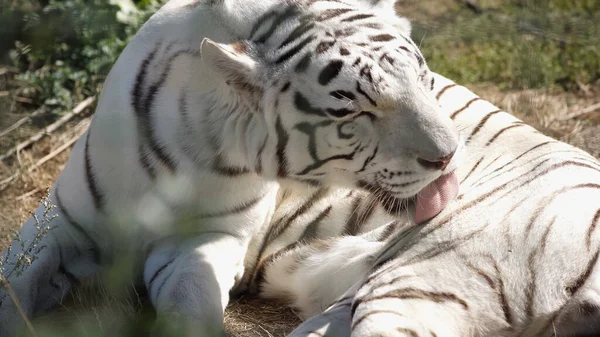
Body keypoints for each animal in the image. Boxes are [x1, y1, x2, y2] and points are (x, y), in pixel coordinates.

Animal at [1, 0, 600, 334]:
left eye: (422, 77)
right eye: (357, 110)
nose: (451, 159)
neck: (200, 135)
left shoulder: (208, 241)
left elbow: (191, 300)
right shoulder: (59, 225)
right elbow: (13, 284)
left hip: (424, 278)